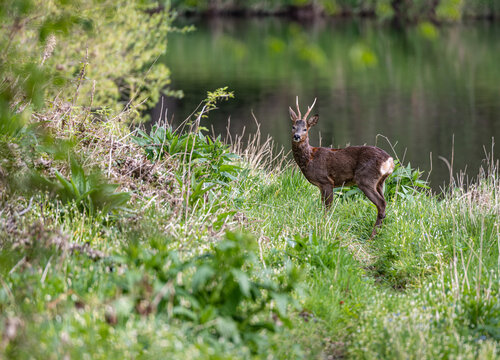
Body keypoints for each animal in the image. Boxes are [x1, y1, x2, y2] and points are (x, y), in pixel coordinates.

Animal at [290, 97, 394, 239]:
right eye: (293, 127)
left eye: (305, 129)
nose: (297, 136)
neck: (310, 159)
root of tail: (389, 160)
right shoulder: (321, 185)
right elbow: (323, 206)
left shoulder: (326, 181)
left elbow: (327, 208)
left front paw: (325, 224)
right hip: (380, 182)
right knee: (383, 203)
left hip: (365, 178)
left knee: (381, 204)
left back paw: (371, 237)